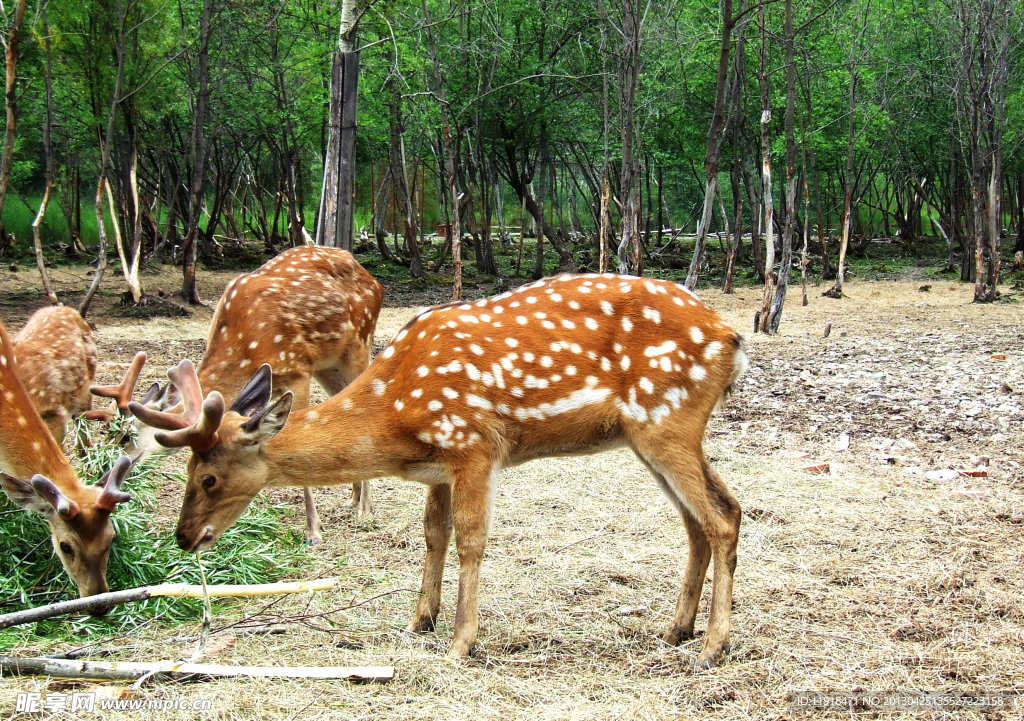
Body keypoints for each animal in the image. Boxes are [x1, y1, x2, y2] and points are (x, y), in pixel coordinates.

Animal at [95, 244, 385, 544]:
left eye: (125, 436)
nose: (102, 478)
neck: (245, 349)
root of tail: (373, 279)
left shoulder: (298, 369)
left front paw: (313, 531)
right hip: (329, 366)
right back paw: (353, 498)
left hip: (359, 345)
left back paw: (365, 509)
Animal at [134, 274, 745, 663]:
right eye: (187, 469)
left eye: (208, 478)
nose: (184, 536)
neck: (396, 416)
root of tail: (731, 338)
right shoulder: (439, 467)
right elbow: (434, 534)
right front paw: (418, 620)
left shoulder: (474, 444)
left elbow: (472, 539)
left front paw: (460, 643)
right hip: (652, 434)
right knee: (709, 516)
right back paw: (676, 629)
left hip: (667, 419)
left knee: (721, 517)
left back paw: (712, 646)